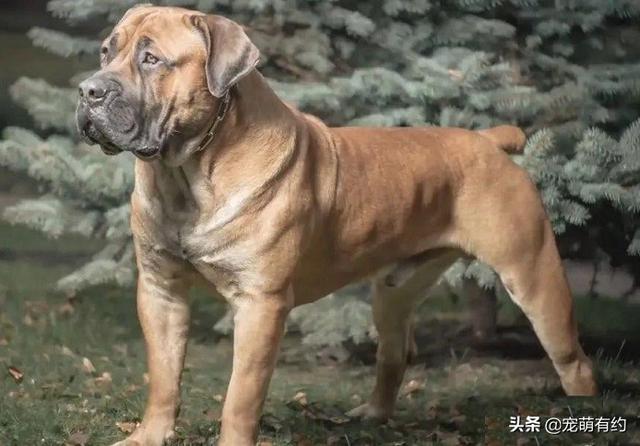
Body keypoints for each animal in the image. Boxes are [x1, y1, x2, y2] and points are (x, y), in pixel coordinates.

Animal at [75, 6, 598, 445]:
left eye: (151, 59)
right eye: (106, 51)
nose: (87, 91)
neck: (190, 173)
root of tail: (489, 139)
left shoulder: (260, 305)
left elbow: (240, 396)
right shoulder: (160, 291)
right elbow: (164, 378)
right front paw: (148, 436)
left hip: (532, 274)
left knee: (574, 360)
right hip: (394, 292)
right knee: (393, 354)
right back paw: (372, 415)